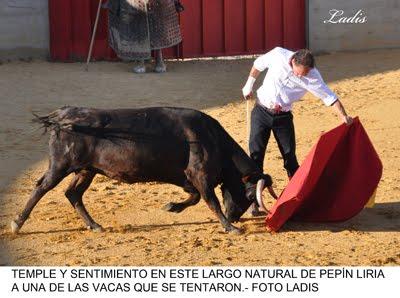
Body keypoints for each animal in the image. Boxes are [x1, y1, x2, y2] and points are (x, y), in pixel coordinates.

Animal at [10, 106, 276, 234]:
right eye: (250, 195)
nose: (234, 217)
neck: (212, 138)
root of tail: (63, 114)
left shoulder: (188, 178)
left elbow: (195, 197)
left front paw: (172, 207)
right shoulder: (199, 175)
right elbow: (211, 201)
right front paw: (231, 228)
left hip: (87, 169)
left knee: (73, 193)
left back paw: (95, 225)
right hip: (61, 165)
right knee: (42, 188)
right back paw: (16, 224)